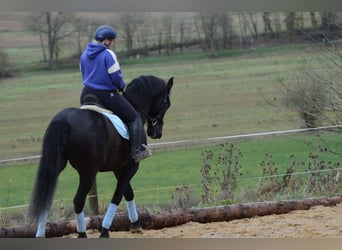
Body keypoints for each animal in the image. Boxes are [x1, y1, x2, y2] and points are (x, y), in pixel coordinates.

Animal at [28, 75, 174, 237]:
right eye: (167, 103)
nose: (156, 133)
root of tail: (64, 120)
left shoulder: (119, 168)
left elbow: (128, 193)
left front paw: (136, 225)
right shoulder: (132, 166)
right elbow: (118, 194)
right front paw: (105, 230)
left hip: (56, 167)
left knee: (46, 198)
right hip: (88, 173)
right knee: (78, 200)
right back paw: (82, 234)